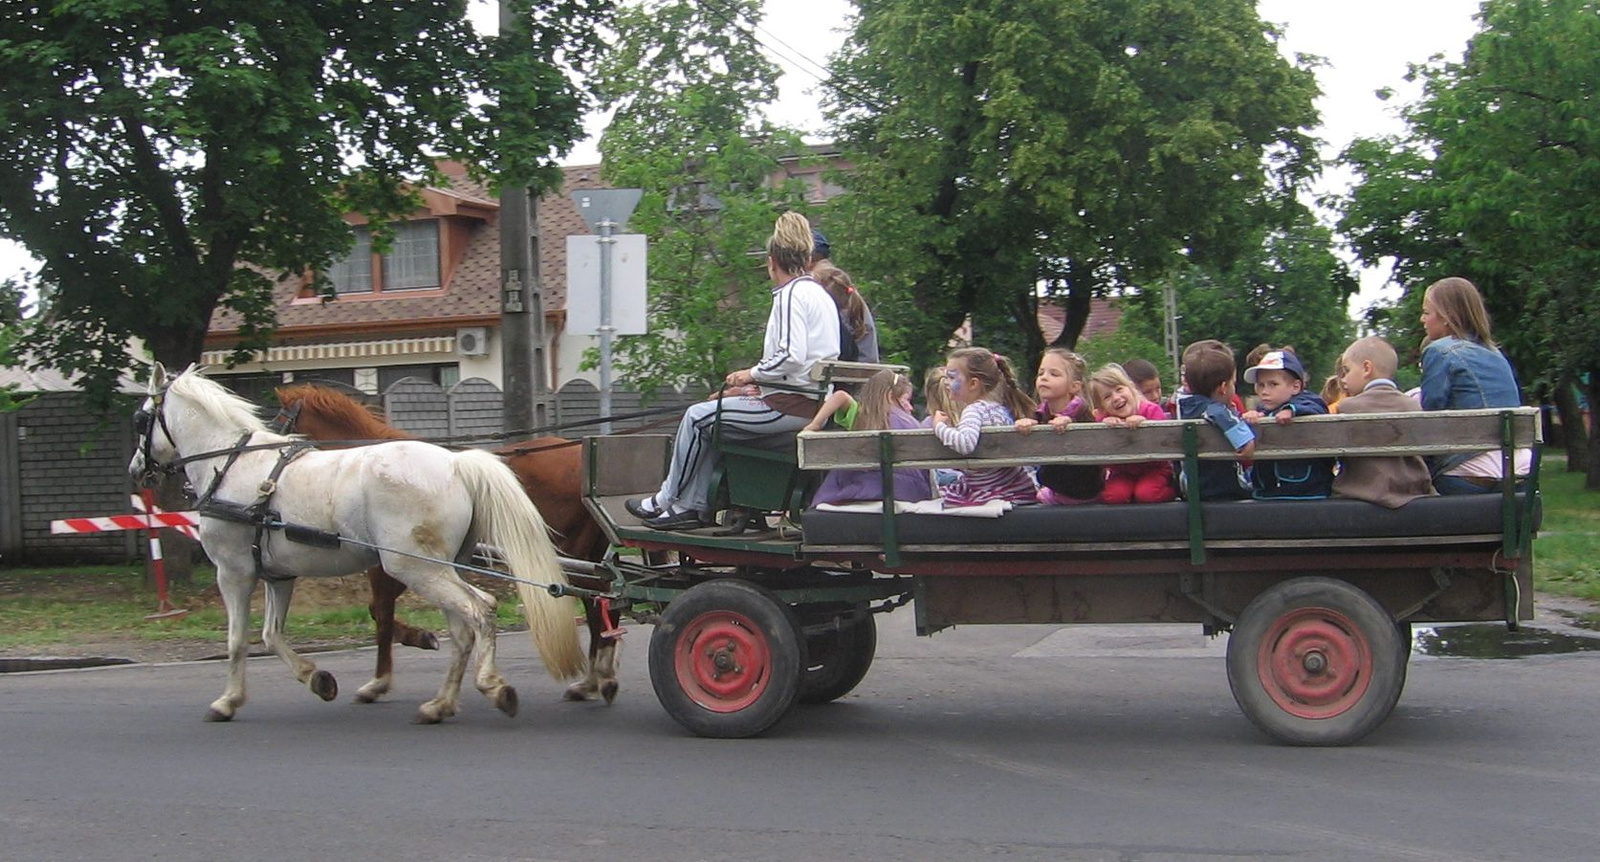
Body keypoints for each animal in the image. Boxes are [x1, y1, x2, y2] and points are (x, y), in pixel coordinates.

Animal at [128, 364, 585, 722]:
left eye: (141, 419)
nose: (136, 470)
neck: (229, 465)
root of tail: (457, 462)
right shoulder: (278, 577)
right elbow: (271, 635)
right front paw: (318, 679)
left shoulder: (234, 573)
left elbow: (238, 640)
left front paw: (227, 701)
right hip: (440, 568)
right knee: (462, 628)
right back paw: (440, 704)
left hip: (416, 567)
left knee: (480, 610)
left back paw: (493, 685)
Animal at [272, 388, 620, 703]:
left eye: (279, 422)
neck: (364, 468)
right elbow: (378, 611)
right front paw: (419, 638)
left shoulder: (397, 565)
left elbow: (380, 613)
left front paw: (380, 679)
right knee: (603, 600)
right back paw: (599, 677)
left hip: (572, 554)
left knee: (597, 603)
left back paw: (595, 677)